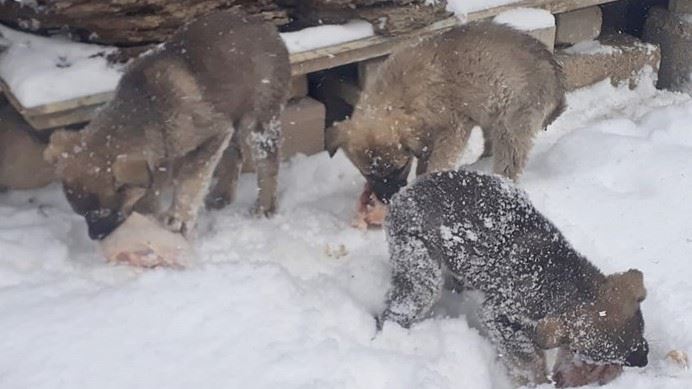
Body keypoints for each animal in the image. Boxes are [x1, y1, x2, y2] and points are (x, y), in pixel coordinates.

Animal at [44, 9, 290, 238]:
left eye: (102, 212)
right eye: (81, 214)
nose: (96, 237)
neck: (148, 110)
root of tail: (266, 25)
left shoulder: (212, 134)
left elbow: (190, 179)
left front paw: (178, 219)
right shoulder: (163, 158)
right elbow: (153, 189)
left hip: (260, 120)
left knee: (267, 164)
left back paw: (265, 207)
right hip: (232, 111)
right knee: (235, 153)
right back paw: (221, 196)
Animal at [328, 21, 564, 202]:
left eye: (399, 168)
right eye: (367, 174)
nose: (387, 199)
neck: (400, 94)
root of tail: (553, 69)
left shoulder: (453, 128)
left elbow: (436, 162)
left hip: (512, 121)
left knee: (509, 161)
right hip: (491, 112)